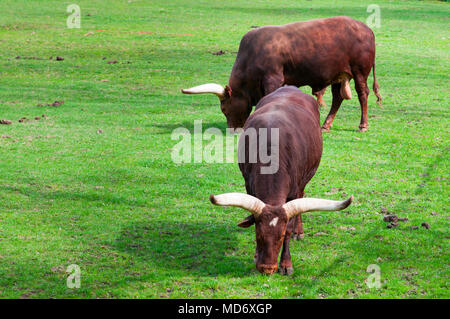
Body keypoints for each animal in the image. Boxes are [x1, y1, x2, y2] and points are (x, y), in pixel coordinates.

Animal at [183, 15, 384, 131]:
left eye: (224, 109)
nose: (232, 129)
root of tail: (367, 29)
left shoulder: (273, 79)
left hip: (360, 71)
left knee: (362, 94)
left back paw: (363, 125)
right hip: (338, 75)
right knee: (337, 98)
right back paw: (326, 125)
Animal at [209, 87, 354, 276]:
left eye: (281, 235)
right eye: (258, 235)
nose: (267, 268)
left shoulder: (294, 190)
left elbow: (290, 226)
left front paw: (286, 264)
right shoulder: (249, 186)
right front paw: (256, 255)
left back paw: (299, 231)